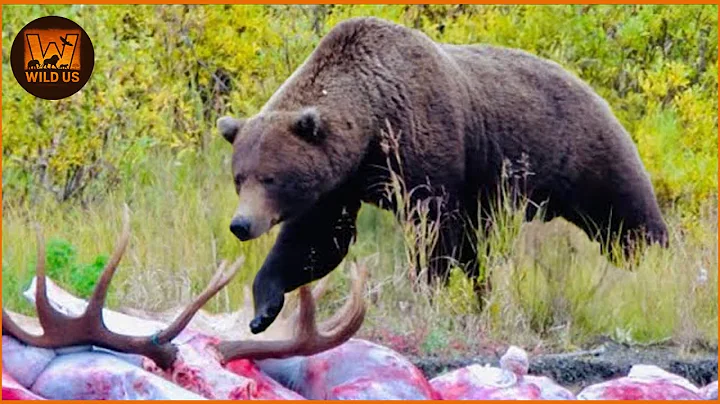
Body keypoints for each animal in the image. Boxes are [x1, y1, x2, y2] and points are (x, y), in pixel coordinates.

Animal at [217, 17, 668, 334]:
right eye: (240, 177)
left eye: (271, 178)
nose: (241, 224)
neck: (371, 123)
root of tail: (591, 87)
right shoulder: (342, 182)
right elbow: (317, 240)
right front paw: (263, 308)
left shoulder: (422, 144)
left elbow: (431, 232)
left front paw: (428, 291)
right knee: (479, 250)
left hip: (584, 151)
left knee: (625, 219)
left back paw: (655, 267)